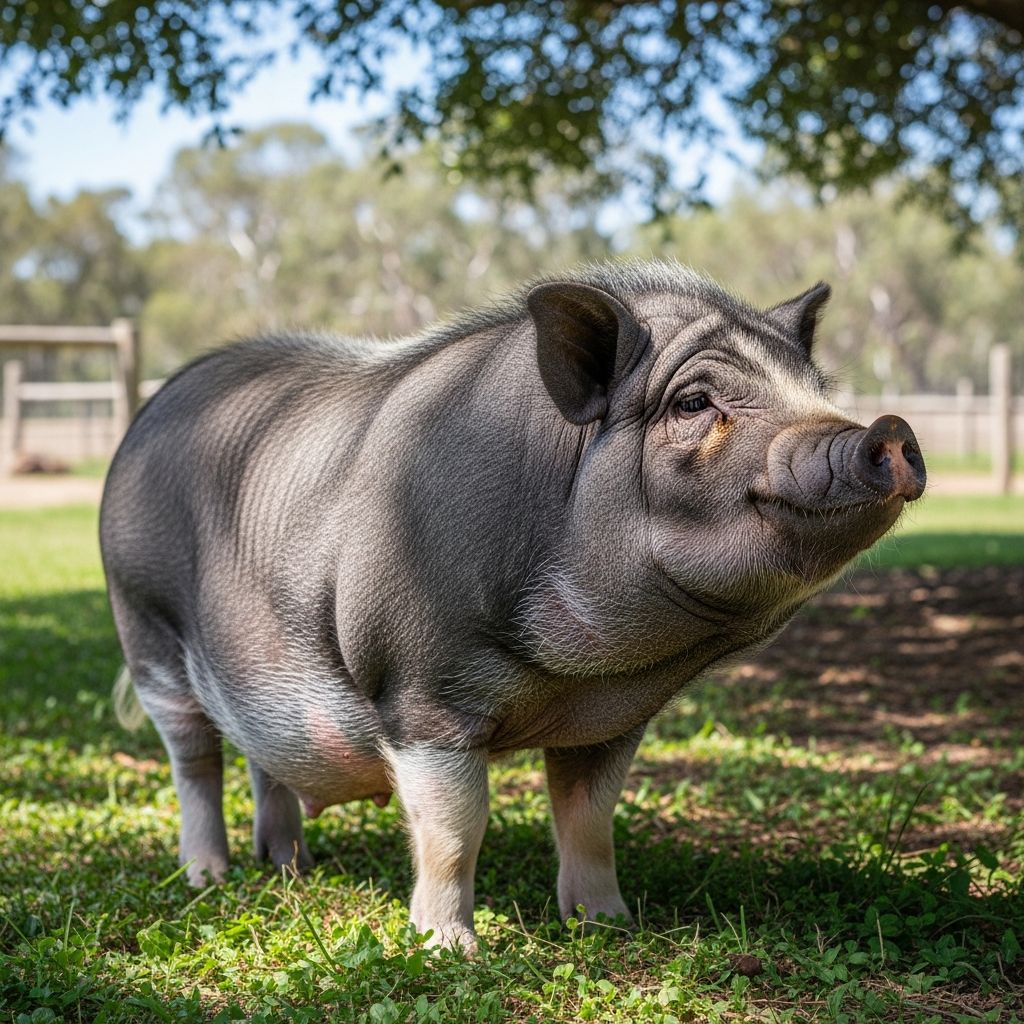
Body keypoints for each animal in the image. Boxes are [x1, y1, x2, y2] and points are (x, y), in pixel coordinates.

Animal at [100, 260, 926, 950]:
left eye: (817, 388)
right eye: (694, 401)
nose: (888, 431)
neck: (578, 673)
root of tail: (149, 412)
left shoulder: (608, 722)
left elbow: (590, 820)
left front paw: (609, 925)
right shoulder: (419, 690)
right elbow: (454, 828)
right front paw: (449, 950)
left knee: (265, 760)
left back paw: (288, 867)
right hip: (144, 626)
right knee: (194, 758)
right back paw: (210, 877)